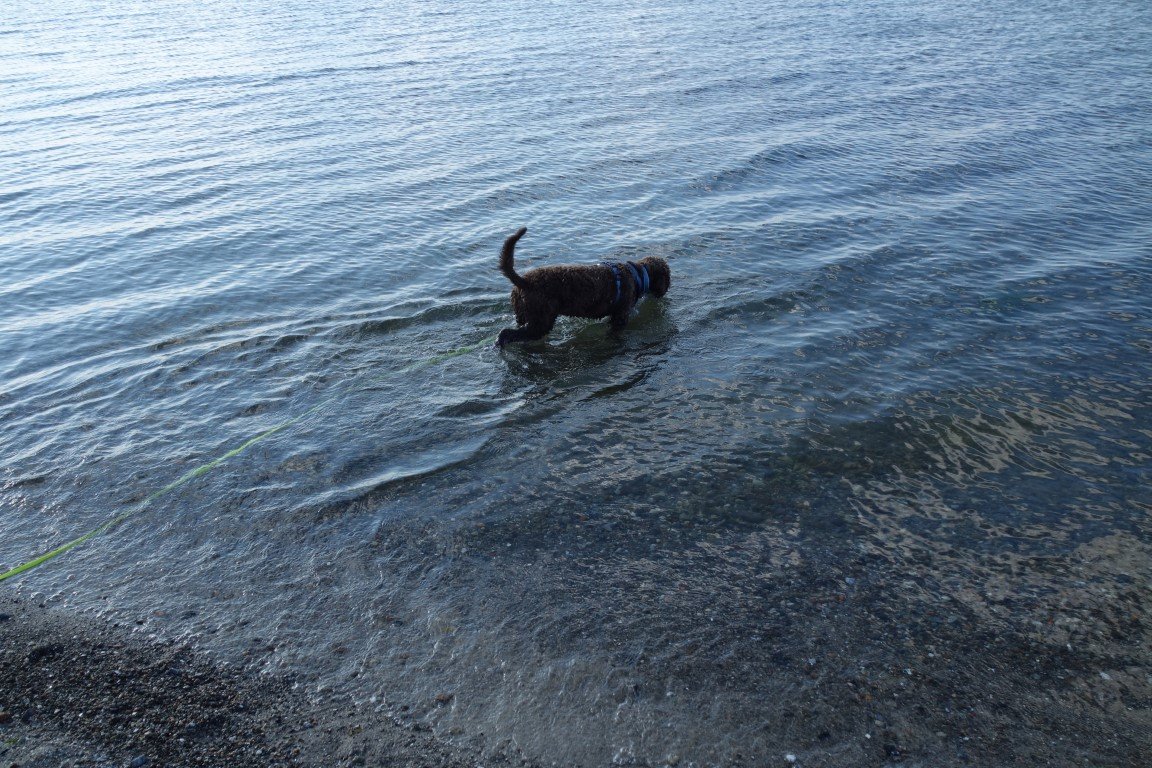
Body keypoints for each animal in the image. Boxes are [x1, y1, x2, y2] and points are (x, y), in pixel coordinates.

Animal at [495, 227, 671, 347]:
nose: (665, 292)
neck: (637, 275)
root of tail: (524, 281)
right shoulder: (620, 317)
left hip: (524, 316)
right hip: (540, 321)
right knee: (507, 333)